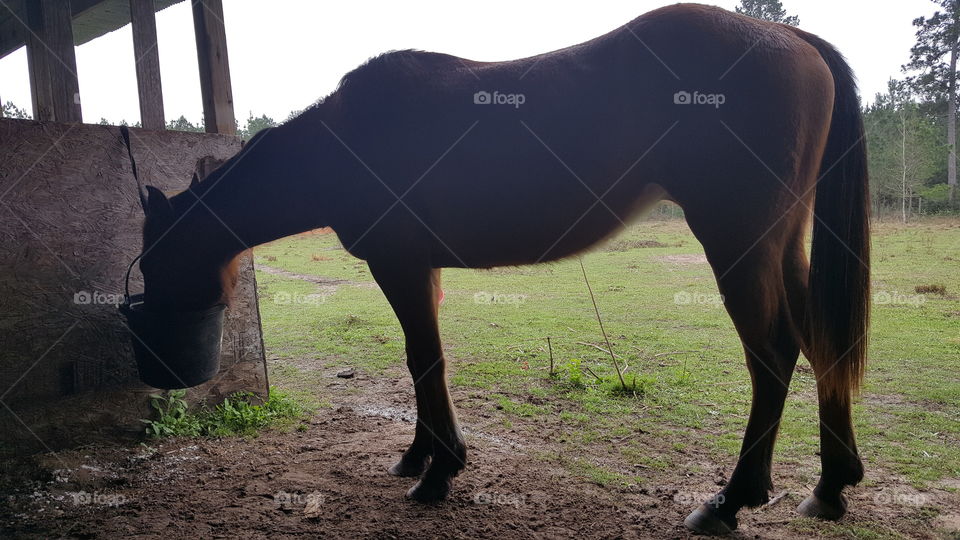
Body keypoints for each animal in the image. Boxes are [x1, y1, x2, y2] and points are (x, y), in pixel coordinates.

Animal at [134, 4, 870, 534]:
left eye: (155, 260)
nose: (161, 361)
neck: (344, 143)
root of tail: (787, 36)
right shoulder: (420, 270)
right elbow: (421, 360)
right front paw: (419, 455)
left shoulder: (399, 264)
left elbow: (425, 359)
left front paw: (438, 474)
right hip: (782, 243)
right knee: (819, 343)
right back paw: (830, 487)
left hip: (738, 241)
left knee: (773, 353)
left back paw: (730, 500)